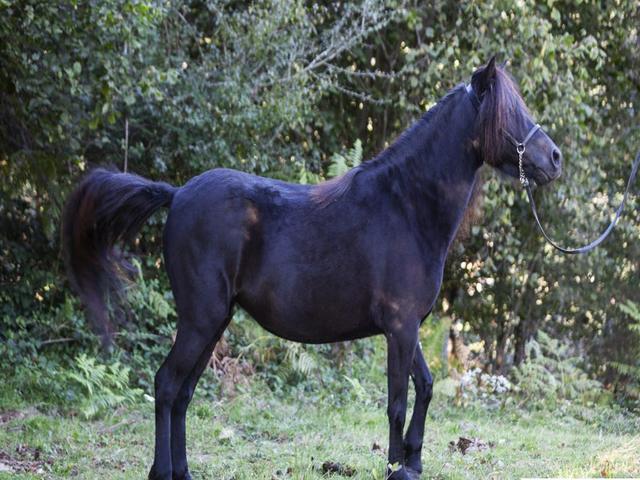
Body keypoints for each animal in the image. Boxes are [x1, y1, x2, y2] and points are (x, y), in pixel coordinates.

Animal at [62, 57, 562, 480]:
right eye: (508, 113)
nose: (554, 158)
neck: (405, 206)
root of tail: (177, 193)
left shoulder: (409, 327)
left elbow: (425, 385)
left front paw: (413, 461)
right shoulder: (400, 327)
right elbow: (397, 402)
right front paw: (396, 467)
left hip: (214, 322)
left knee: (183, 393)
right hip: (200, 320)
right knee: (167, 386)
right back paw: (164, 471)